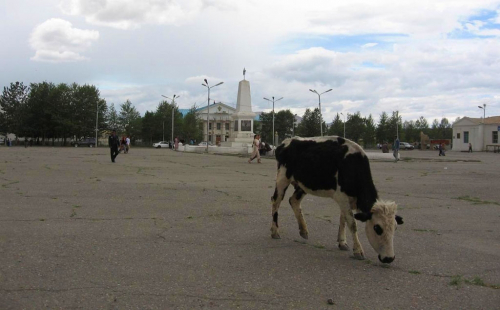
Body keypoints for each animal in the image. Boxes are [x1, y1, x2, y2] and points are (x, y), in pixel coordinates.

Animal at [272, 136, 404, 264]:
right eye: (377, 228)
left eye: (395, 228)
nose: (389, 258)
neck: (353, 165)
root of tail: (287, 141)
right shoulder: (343, 198)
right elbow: (352, 224)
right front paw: (358, 250)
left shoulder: (346, 201)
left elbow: (343, 220)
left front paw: (342, 242)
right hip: (282, 178)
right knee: (276, 201)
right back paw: (275, 232)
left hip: (303, 185)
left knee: (294, 201)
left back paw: (303, 231)